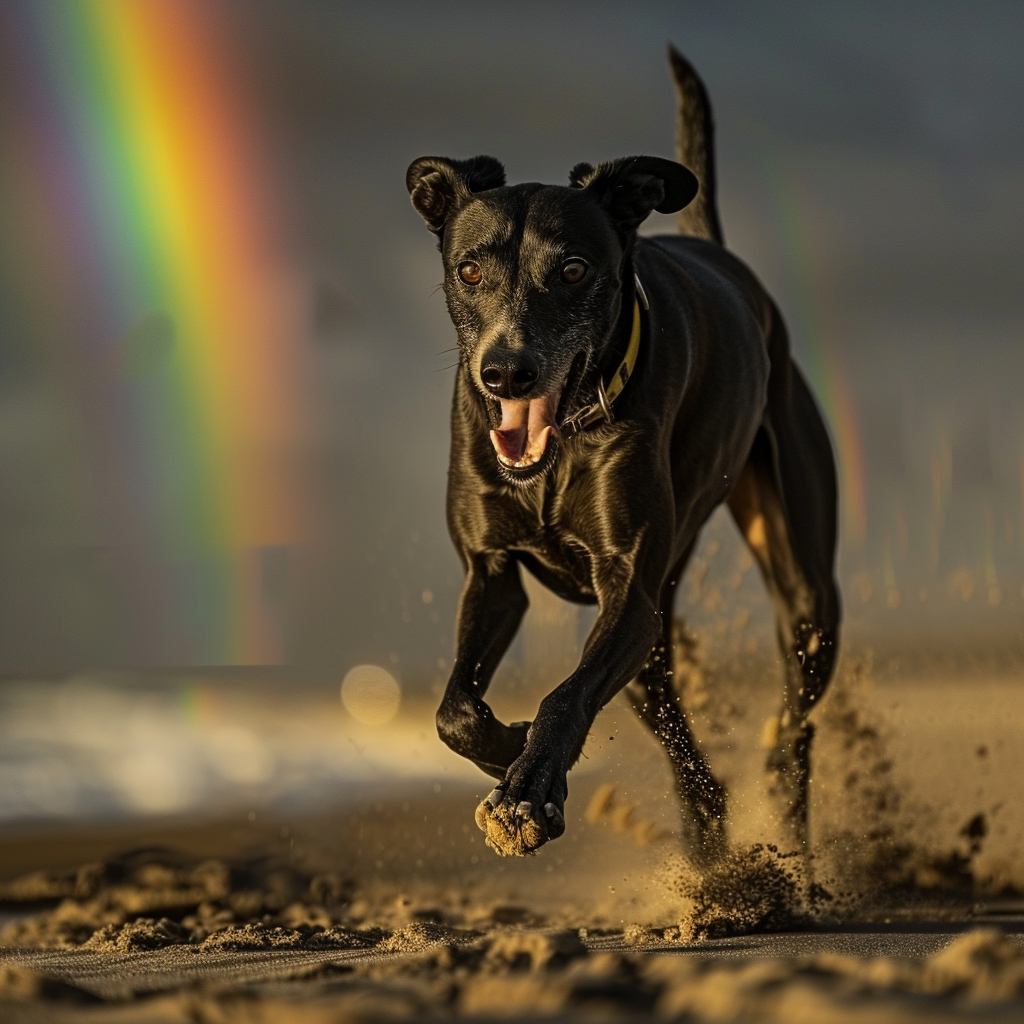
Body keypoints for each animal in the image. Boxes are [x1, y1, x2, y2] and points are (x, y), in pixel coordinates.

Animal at [407, 48, 839, 864]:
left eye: (574, 269)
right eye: (470, 270)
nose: (506, 373)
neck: (562, 442)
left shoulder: (628, 591)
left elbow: (565, 695)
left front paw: (527, 791)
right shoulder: (493, 572)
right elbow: (455, 708)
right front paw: (508, 748)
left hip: (800, 583)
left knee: (798, 712)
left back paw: (783, 817)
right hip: (652, 650)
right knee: (683, 748)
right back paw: (710, 850)